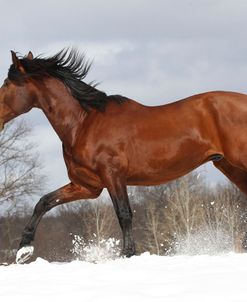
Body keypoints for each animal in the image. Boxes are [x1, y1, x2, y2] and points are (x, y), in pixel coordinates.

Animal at [0, 49, 247, 262]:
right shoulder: (87, 186)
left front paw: (127, 254)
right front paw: (23, 251)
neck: (84, 123)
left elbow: (124, 214)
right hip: (229, 167)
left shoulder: (113, 175)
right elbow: (44, 202)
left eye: (7, 83)